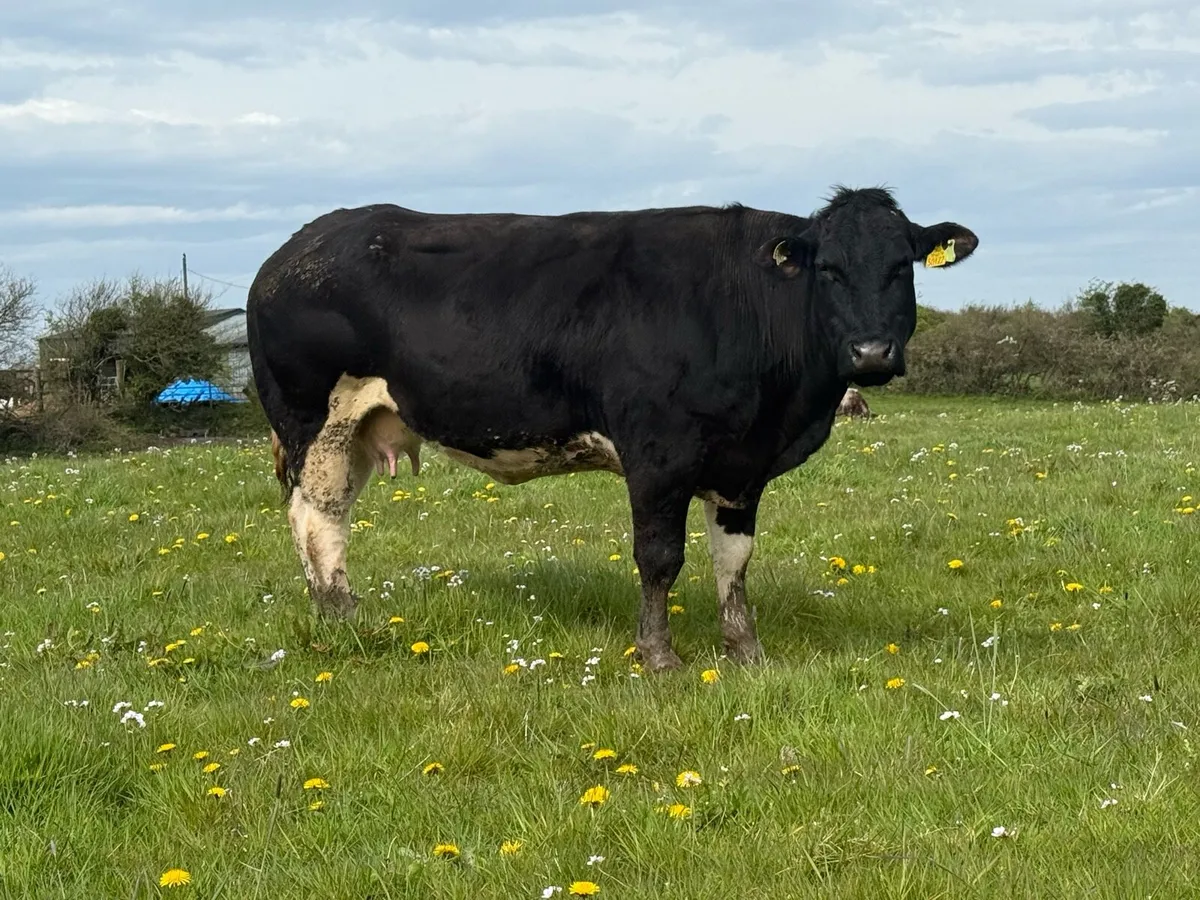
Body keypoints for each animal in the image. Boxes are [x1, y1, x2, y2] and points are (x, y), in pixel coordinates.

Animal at [246, 186, 977, 672]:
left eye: (902, 266)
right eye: (828, 270)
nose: (871, 354)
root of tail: (297, 247)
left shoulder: (741, 466)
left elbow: (733, 560)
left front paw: (746, 651)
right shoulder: (658, 451)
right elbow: (660, 558)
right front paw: (659, 657)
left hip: (360, 427)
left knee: (329, 515)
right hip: (314, 420)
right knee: (315, 518)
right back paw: (341, 618)